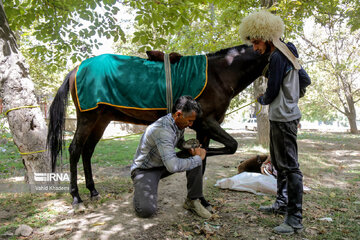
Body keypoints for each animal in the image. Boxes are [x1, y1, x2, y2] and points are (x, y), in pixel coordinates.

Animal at [47, 44, 268, 208]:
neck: (218, 75)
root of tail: (76, 69)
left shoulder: (205, 129)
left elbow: (204, 159)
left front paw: (201, 200)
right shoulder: (206, 123)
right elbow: (230, 146)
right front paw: (185, 153)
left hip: (101, 120)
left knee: (87, 151)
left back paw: (93, 191)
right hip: (88, 118)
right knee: (75, 149)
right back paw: (76, 197)